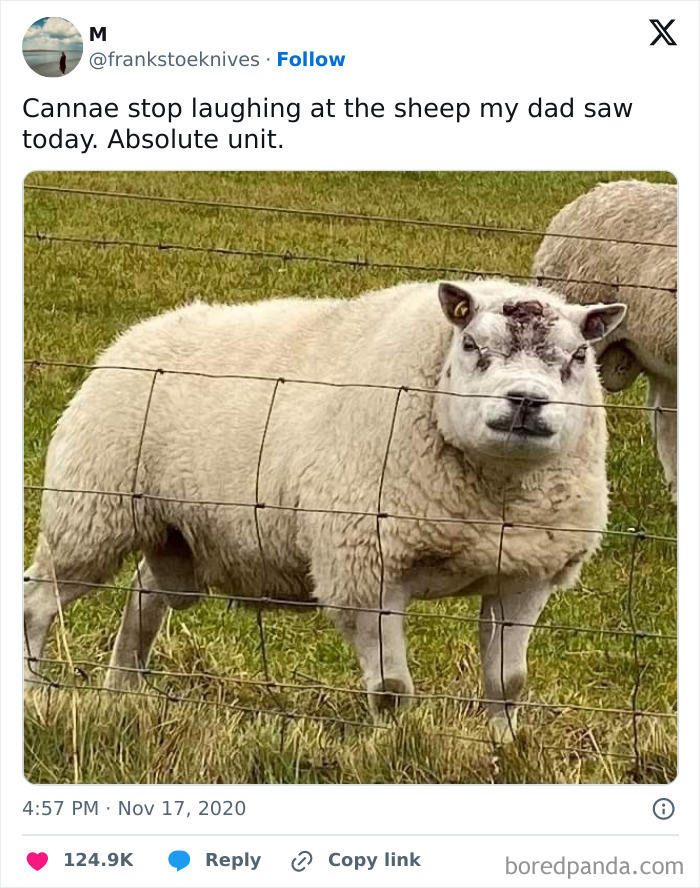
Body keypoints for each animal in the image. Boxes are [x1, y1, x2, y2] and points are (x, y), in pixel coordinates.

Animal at [24, 279, 626, 740]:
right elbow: (391, 690)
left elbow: (508, 684)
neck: (494, 496)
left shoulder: (526, 575)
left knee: (144, 595)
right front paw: (393, 748)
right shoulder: (365, 571)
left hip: (175, 532)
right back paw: (34, 691)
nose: (525, 401)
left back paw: (123, 689)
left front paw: (505, 746)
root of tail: (138, 333)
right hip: (89, 514)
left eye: (578, 357)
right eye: (473, 345)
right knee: (37, 601)